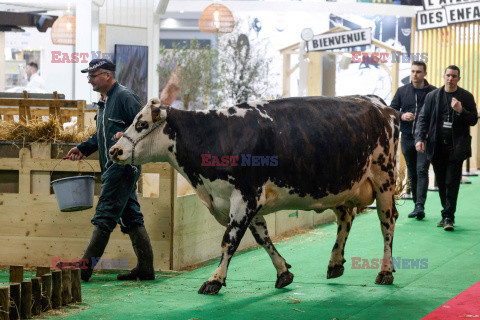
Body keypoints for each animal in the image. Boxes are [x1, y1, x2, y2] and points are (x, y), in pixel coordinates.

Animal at [109, 94, 402, 296]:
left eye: (141, 123)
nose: (114, 150)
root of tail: (380, 104)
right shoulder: (246, 201)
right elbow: (262, 237)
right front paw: (283, 272)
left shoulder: (245, 196)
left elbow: (229, 241)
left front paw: (214, 280)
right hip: (341, 188)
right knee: (346, 218)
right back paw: (335, 263)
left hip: (384, 180)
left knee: (387, 223)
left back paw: (385, 271)